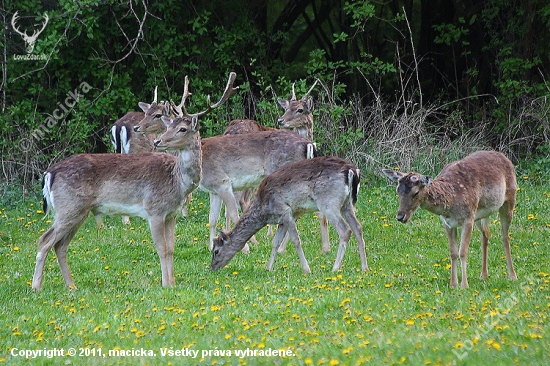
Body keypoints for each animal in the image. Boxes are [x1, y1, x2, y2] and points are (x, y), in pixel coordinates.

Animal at [30, 71, 237, 290]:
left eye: (182, 129)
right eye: (168, 124)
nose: (158, 141)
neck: (178, 182)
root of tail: (49, 174)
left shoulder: (171, 214)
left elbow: (172, 248)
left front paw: (172, 282)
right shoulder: (154, 210)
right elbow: (162, 248)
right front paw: (165, 284)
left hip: (78, 211)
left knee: (60, 245)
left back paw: (72, 286)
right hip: (69, 207)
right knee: (45, 240)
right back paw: (36, 287)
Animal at [211, 156, 370, 274]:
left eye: (216, 251)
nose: (212, 267)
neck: (263, 210)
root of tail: (352, 171)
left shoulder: (285, 211)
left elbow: (296, 240)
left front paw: (306, 269)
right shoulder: (281, 219)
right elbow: (275, 242)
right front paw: (268, 268)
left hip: (329, 203)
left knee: (345, 230)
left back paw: (335, 268)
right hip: (346, 204)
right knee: (358, 227)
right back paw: (364, 267)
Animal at [384, 150, 520, 288]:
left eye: (415, 192)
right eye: (397, 191)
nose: (400, 216)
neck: (451, 201)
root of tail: (504, 157)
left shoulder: (468, 217)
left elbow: (463, 251)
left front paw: (464, 285)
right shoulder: (447, 223)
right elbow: (453, 252)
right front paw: (453, 284)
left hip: (509, 198)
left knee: (504, 236)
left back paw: (512, 276)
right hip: (481, 213)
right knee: (486, 234)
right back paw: (483, 275)